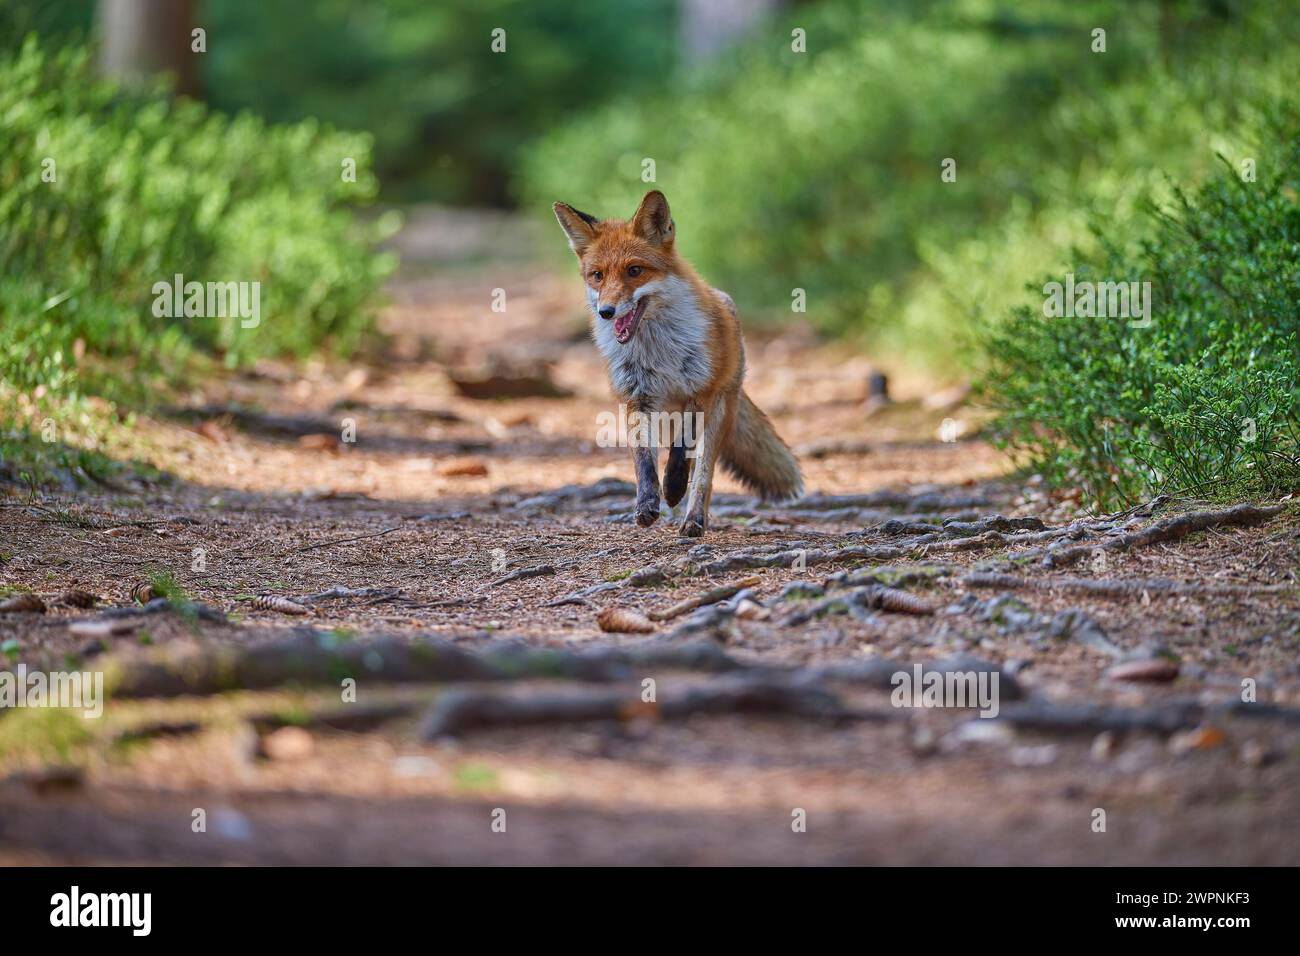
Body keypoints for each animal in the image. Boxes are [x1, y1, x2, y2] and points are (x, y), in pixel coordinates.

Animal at [551, 189, 795, 535]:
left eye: (634, 271)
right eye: (597, 276)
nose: (606, 312)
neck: (657, 352)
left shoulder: (700, 392)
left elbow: (682, 452)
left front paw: (674, 487)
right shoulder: (636, 399)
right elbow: (644, 462)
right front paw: (647, 504)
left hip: (719, 414)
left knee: (703, 476)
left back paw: (694, 520)